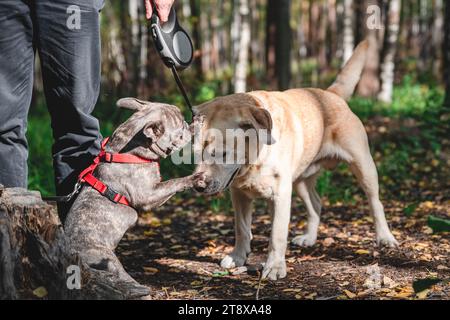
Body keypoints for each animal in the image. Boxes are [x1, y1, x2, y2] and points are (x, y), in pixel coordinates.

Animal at [193, 41, 398, 282]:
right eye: (195, 153)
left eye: (222, 153)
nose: (198, 185)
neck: (255, 161)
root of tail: (331, 93)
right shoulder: (239, 195)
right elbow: (241, 228)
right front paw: (238, 257)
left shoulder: (281, 194)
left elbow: (277, 234)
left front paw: (274, 266)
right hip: (300, 181)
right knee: (316, 204)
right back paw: (309, 238)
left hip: (364, 167)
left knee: (376, 203)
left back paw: (385, 237)